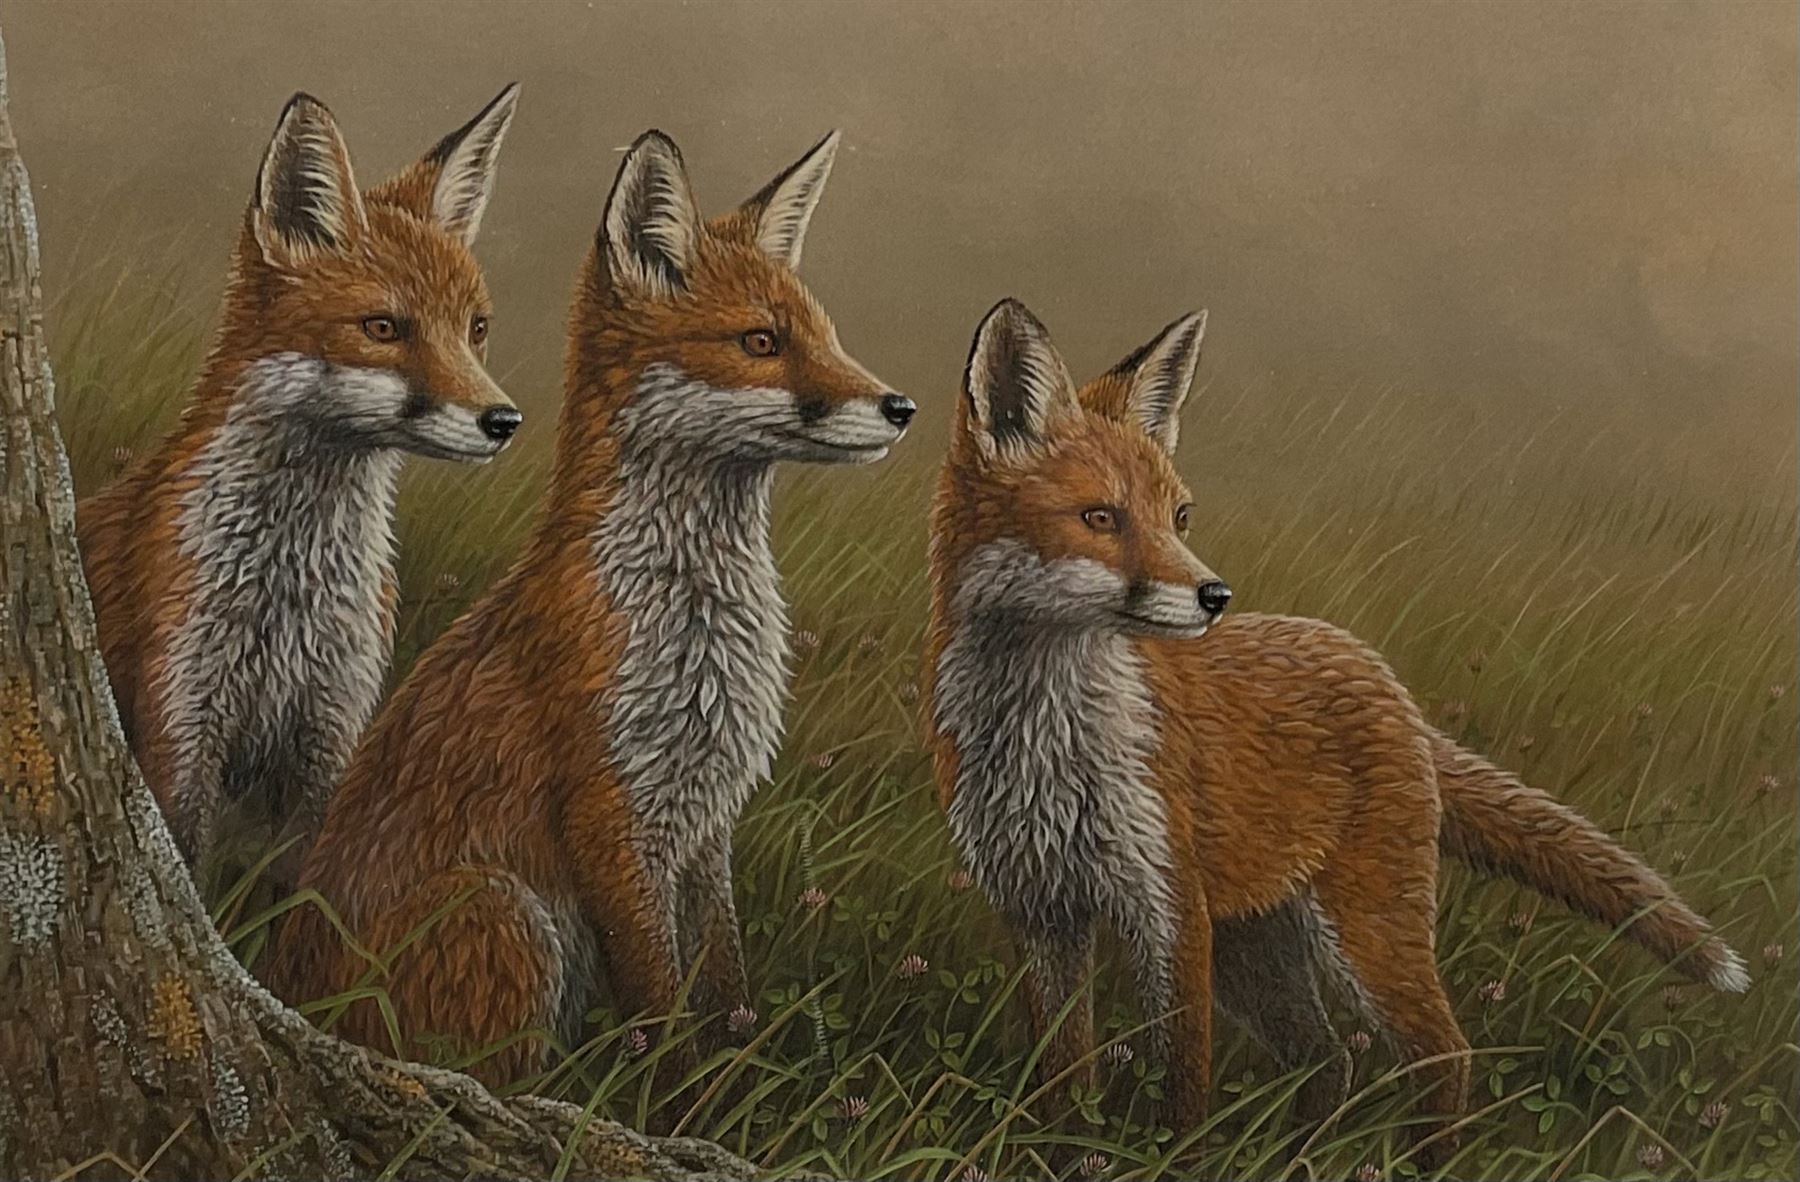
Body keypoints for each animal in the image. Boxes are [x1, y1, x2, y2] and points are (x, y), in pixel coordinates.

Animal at [76, 87, 523, 881]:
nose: (503, 420)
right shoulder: (181, 726)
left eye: (475, 329)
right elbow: (192, 872)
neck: (290, 593)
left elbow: (303, 891)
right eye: (383, 327)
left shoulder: (329, 734)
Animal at [267, 128, 915, 1087]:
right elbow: (660, 1011)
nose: (901, 407)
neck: (693, 626)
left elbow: (726, 994)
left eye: (827, 337)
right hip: (500, 909)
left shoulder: (707, 818)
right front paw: (682, 1104)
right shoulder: (608, 810)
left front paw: (737, 1086)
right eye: (761, 341)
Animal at [924, 298, 1749, 1164]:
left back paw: (1426, 1164)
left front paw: (1173, 1161)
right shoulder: (1041, 912)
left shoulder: (1166, 908)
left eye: (1179, 516)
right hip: (1256, 947)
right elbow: (1062, 1081)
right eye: (1099, 518)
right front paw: (1052, 1155)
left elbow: (1181, 1084)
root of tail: (1375, 668)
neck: (1044, 742)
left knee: (1442, 1054)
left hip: (1363, 932)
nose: (1215, 596)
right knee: (1327, 1062)